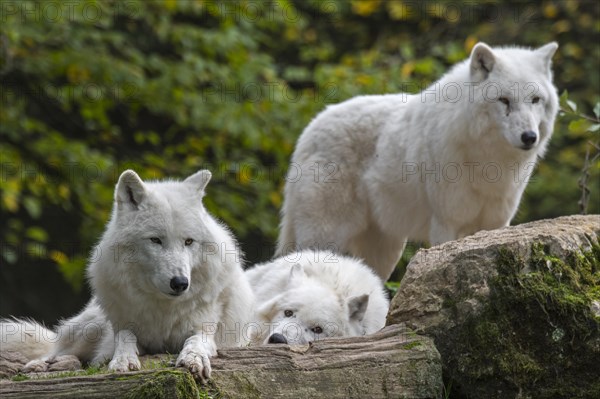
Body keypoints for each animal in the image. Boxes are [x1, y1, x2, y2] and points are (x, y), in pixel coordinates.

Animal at [0, 169, 253, 382]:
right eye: (155, 240)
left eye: (189, 241)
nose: (180, 283)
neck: (163, 309)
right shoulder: (122, 329)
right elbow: (124, 338)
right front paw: (123, 360)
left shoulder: (205, 328)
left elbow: (196, 341)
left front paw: (194, 359)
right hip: (91, 326)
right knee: (57, 351)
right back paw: (43, 365)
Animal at [278, 42, 560, 282]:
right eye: (504, 100)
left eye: (535, 100)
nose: (529, 137)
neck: (488, 161)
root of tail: (308, 131)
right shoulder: (446, 225)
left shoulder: (497, 226)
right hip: (326, 237)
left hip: (385, 250)